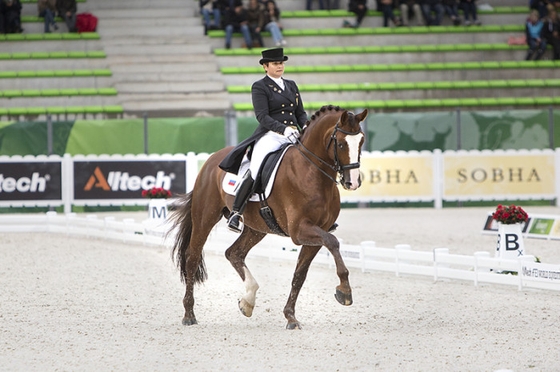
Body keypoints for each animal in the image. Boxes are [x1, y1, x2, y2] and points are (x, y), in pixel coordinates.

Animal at [170, 104, 372, 328]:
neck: (312, 173)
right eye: (341, 143)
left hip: (256, 228)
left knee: (234, 253)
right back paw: (189, 314)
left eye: (361, 141)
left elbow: (300, 275)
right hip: (205, 217)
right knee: (192, 258)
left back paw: (247, 301)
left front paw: (291, 316)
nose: (352, 182)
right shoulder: (299, 230)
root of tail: (211, 160)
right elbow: (333, 242)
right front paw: (344, 291)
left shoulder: (317, 233)